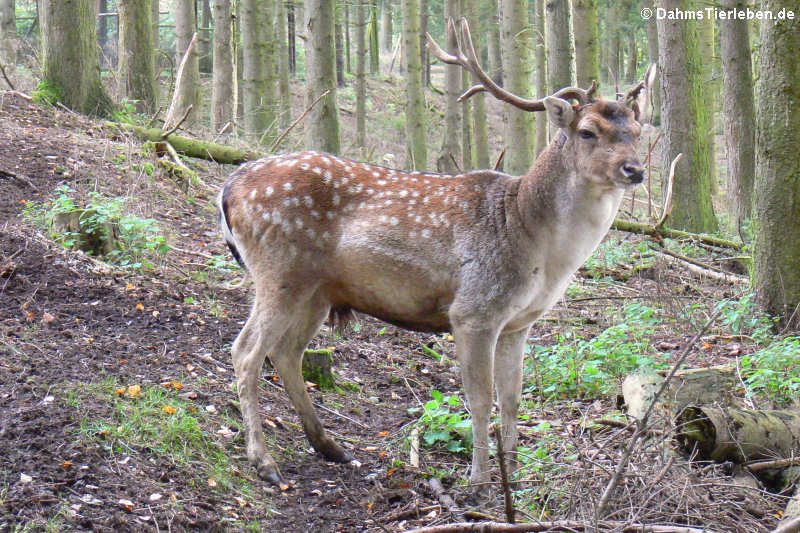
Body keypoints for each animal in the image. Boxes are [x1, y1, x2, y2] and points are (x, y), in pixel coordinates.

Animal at [217, 18, 648, 488]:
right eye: (588, 131)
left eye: (638, 133)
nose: (635, 169)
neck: (535, 241)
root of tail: (229, 187)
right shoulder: (474, 310)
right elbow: (480, 399)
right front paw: (479, 483)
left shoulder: (519, 323)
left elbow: (513, 399)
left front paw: (514, 477)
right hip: (279, 271)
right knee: (245, 351)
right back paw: (264, 462)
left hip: (316, 292)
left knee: (287, 353)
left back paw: (331, 448)